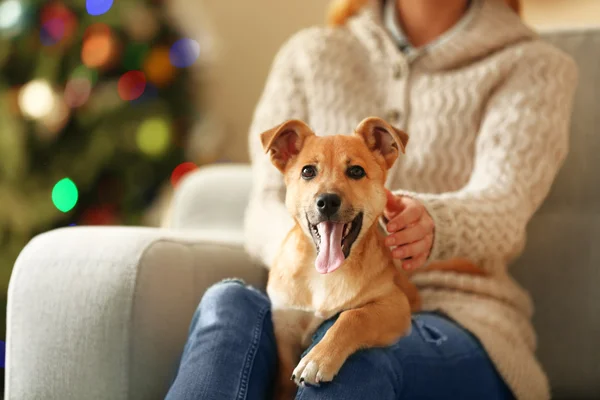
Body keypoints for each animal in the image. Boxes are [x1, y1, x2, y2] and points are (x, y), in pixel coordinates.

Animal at [262, 117, 482, 398]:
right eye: (308, 171)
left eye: (356, 171)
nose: (327, 201)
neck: (325, 276)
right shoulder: (285, 332)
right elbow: (282, 381)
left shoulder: (396, 304)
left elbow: (353, 316)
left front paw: (317, 359)